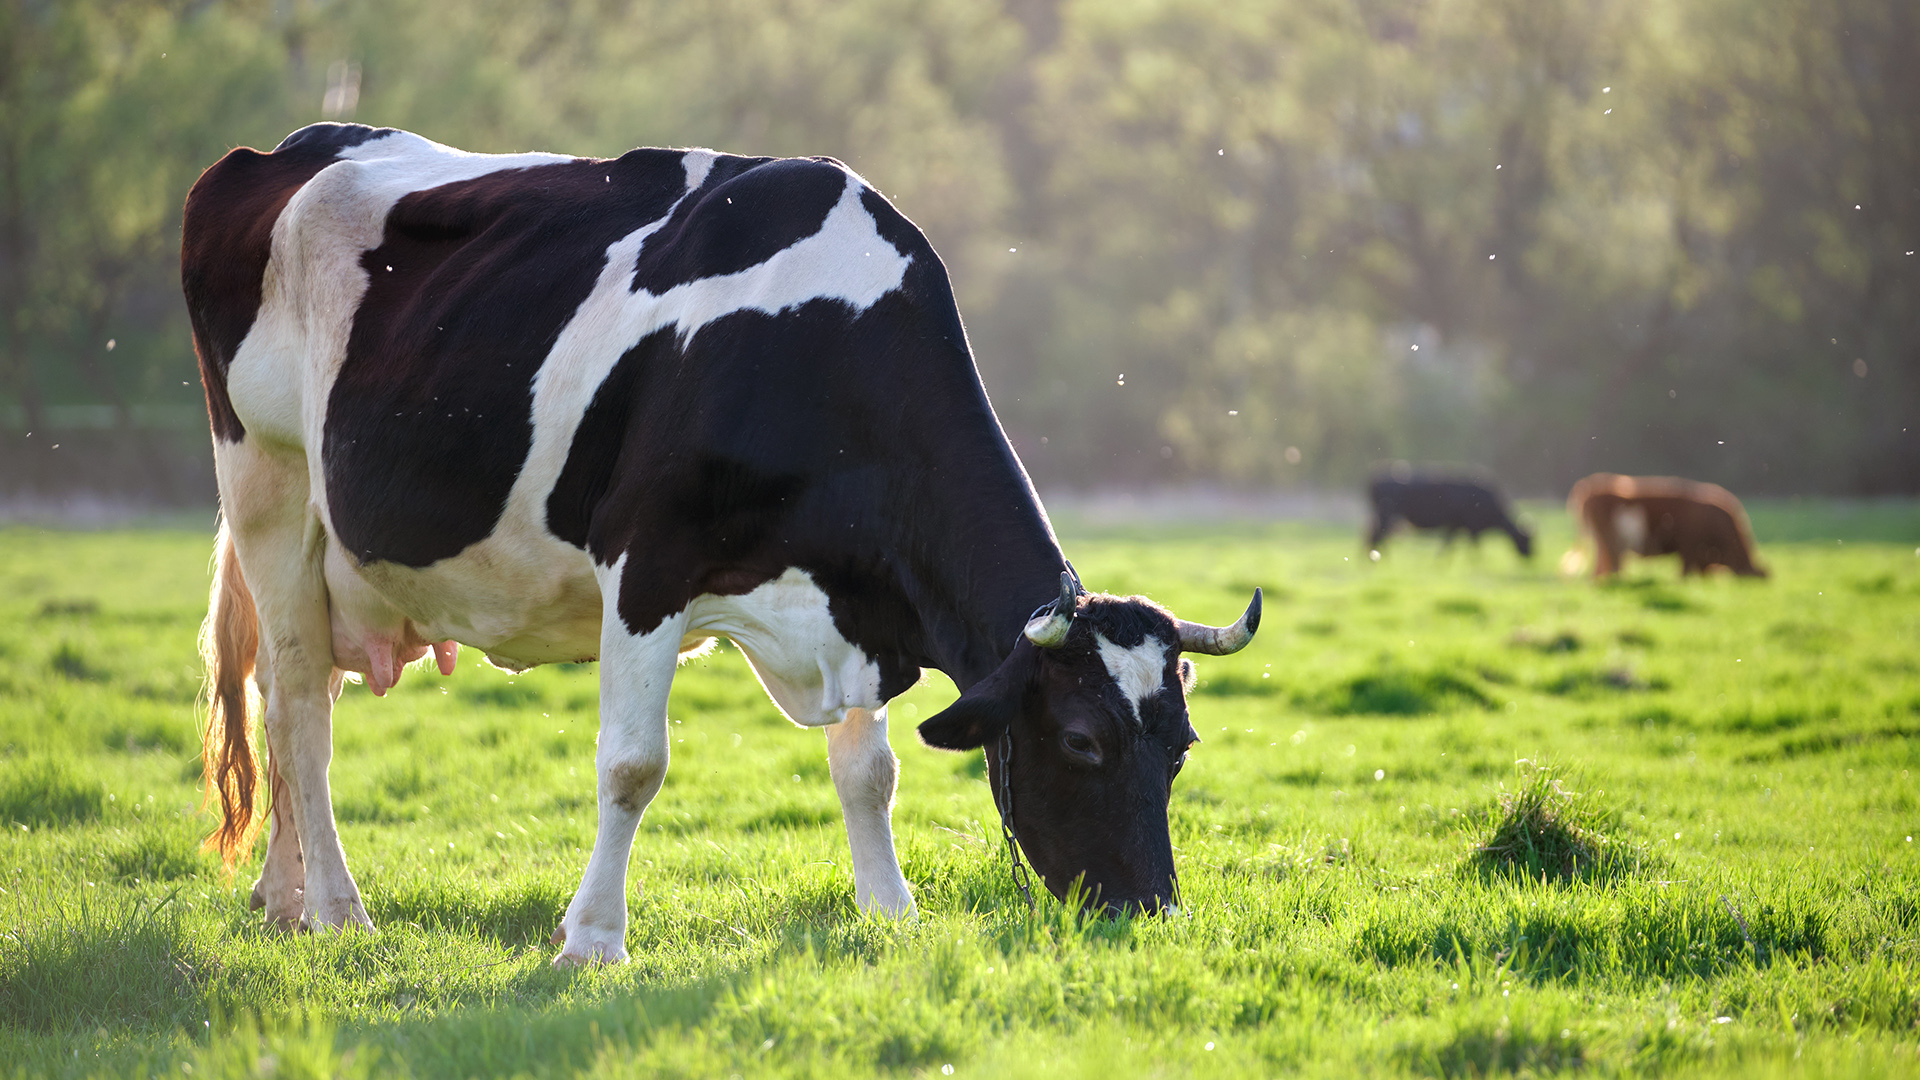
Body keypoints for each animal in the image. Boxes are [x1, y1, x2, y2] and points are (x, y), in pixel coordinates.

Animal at [180, 123, 1259, 957]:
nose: (1152, 911)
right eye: (1081, 740)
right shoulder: (646, 565)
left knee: (292, 693)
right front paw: (592, 940)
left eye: (1182, 745)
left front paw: (891, 913)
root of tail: (286, 149)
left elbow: (870, 773)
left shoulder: (855, 601)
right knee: (297, 712)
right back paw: (338, 912)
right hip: (268, 484)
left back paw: (281, 901)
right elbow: (632, 765)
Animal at [1359, 470, 1536, 553]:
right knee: (1377, 536)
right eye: (1527, 540)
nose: (1531, 556)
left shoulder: (1455, 525)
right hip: (1386, 516)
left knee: (1374, 536)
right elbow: (1473, 547)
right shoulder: (1471, 526)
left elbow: (1448, 545)